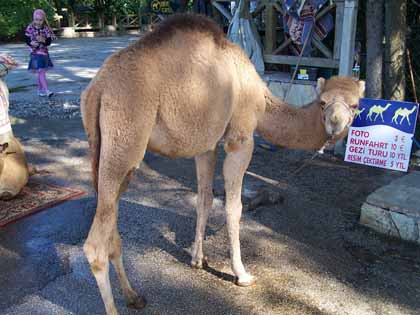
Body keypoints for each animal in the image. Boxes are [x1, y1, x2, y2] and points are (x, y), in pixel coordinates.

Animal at [81, 13, 364, 314]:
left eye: (356, 105)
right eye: (323, 103)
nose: (335, 124)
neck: (261, 97)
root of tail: (98, 88)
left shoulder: (206, 145)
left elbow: (204, 198)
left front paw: (197, 260)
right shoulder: (240, 139)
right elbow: (234, 207)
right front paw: (242, 274)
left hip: (106, 149)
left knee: (111, 224)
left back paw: (134, 295)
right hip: (125, 139)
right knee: (94, 245)